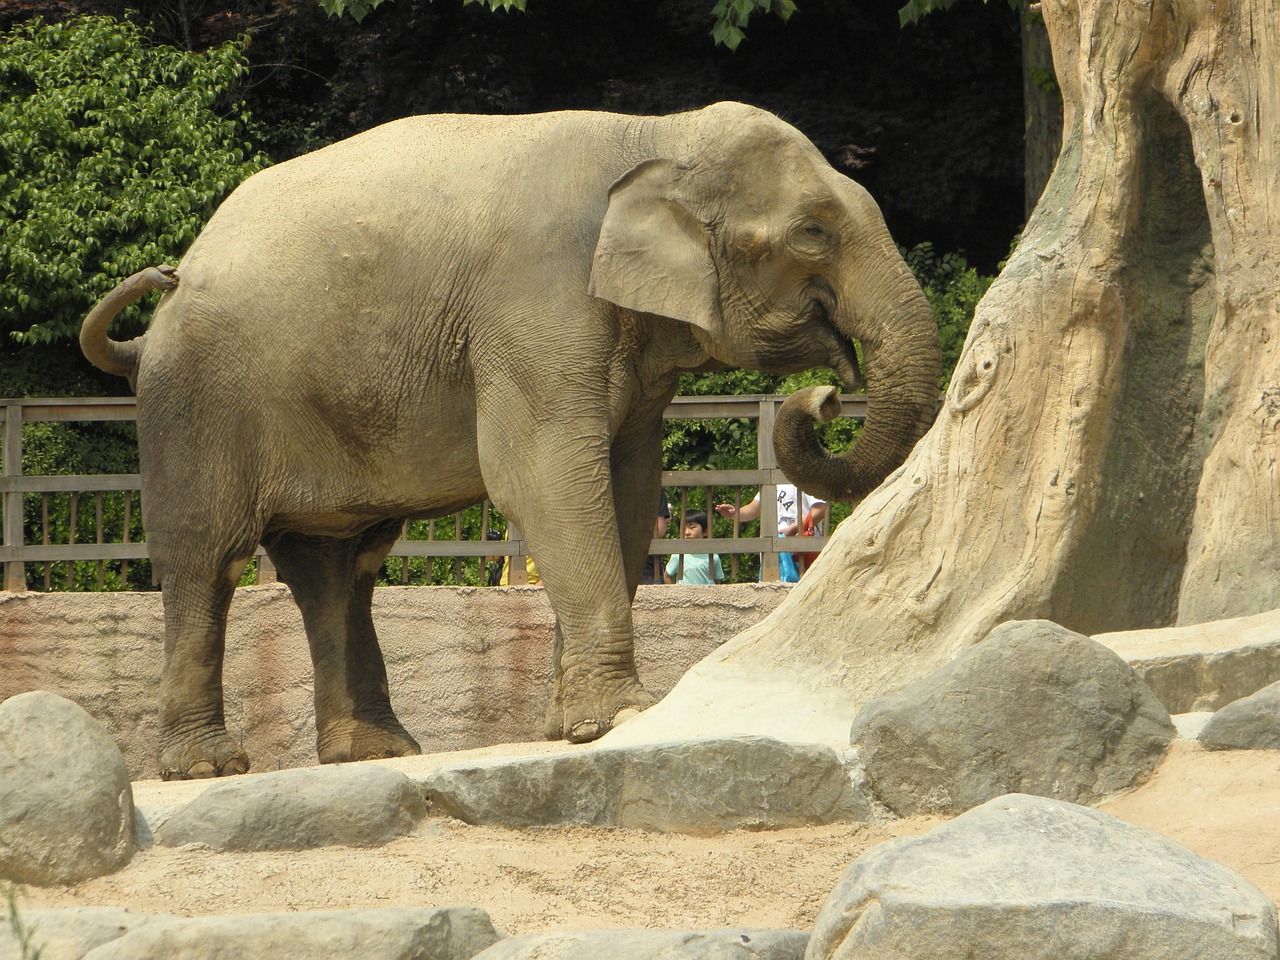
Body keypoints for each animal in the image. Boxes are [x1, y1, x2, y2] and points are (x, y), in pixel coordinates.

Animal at [80, 103, 942, 783]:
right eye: (812, 232)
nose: (825, 395)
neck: (656, 133)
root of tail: (165, 302)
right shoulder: (536, 308)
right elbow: (543, 476)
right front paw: (622, 718)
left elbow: (627, 490)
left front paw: (572, 727)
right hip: (198, 399)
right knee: (211, 557)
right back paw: (211, 765)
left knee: (340, 568)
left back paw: (377, 751)